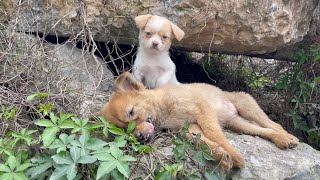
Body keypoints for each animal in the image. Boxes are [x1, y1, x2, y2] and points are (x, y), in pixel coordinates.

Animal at [96, 72, 298, 170]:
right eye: (124, 130)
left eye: (131, 112)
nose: (138, 136)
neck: (163, 109)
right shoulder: (189, 127)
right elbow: (203, 142)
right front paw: (222, 156)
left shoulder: (203, 112)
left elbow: (215, 134)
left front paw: (234, 155)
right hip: (239, 124)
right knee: (265, 131)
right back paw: (281, 139)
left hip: (246, 103)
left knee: (273, 124)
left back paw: (289, 137)